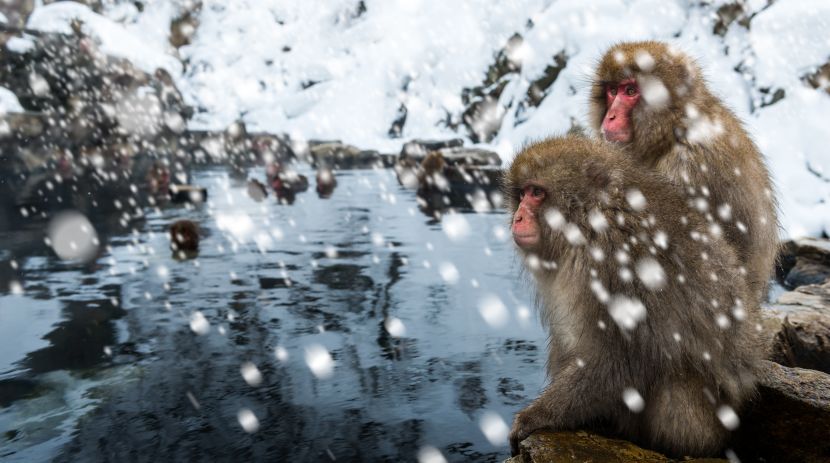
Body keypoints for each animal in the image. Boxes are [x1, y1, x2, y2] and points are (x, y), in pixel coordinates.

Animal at [504, 136, 761, 458]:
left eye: (537, 192)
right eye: (522, 193)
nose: (518, 217)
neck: (590, 222)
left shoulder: (619, 266)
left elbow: (620, 362)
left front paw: (535, 417)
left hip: (705, 423)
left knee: (672, 377)